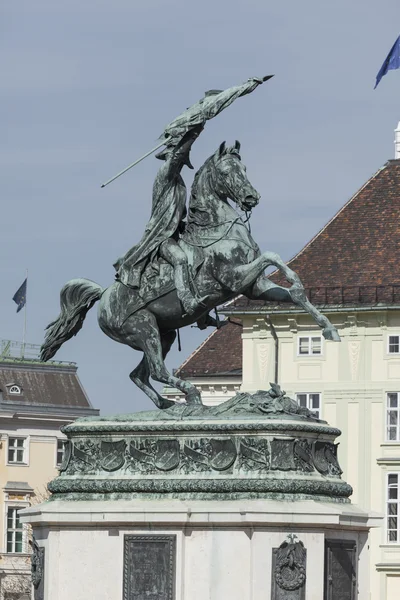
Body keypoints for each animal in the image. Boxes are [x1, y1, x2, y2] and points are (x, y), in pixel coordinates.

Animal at [41, 142, 340, 408]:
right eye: (226, 172)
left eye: (244, 168)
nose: (251, 198)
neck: (216, 229)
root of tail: (104, 297)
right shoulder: (234, 278)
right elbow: (272, 256)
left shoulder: (253, 287)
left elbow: (291, 290)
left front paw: (327, 326)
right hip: (143, 329)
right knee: (158, 371)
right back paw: (191, 396)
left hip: (163, 334)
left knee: (140, 374)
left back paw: (168, 405)